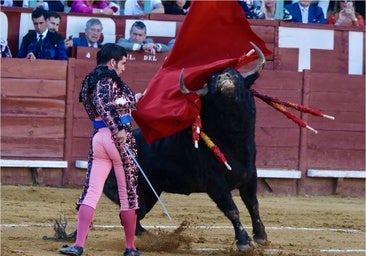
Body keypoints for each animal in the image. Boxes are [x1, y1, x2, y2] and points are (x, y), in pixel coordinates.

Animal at [103, 44, 268, 252]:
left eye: (235, 73)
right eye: (211, 80)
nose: (223, 78)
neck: (233, 139)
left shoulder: (250, 176)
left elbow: (253, 204)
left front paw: (261, 236)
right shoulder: (214, 182)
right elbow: (232, 208)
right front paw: (244, 241)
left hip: (150, 193)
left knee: (134, 215)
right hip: (131, 191)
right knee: (130, 214)